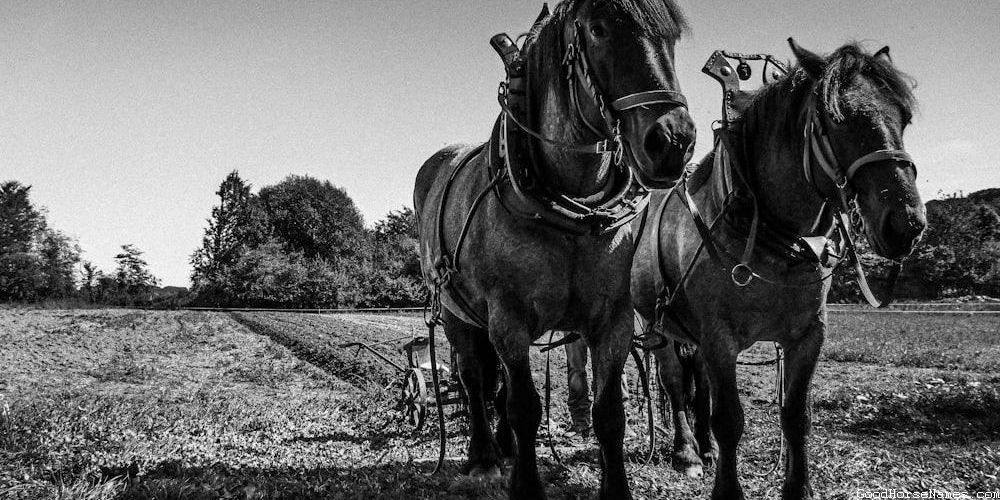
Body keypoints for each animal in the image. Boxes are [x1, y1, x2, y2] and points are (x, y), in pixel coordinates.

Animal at [414, 1, 694, 497]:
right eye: (598, 29)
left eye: (671, 37)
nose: (674, 142)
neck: (572, 214)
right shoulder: (507, 317)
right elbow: (525, 407)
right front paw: (524, 484)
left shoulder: (614, 319)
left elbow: (610, 413)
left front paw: (616, 488)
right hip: (456, 311)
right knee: (473, 377)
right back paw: (484, 457)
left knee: (495, 385)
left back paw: (503, 446)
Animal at [631, 39, 926, 499]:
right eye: (835, 120)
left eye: (904, 118)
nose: (906, 224)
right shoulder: (719, 338)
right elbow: (729, 419)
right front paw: (725, 488)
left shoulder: (807, 336)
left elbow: (796, 416)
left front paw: (798, 487)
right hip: (655, 323)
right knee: (675, 382)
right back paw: (687, 452)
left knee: (698, 385)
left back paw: (704, 448)